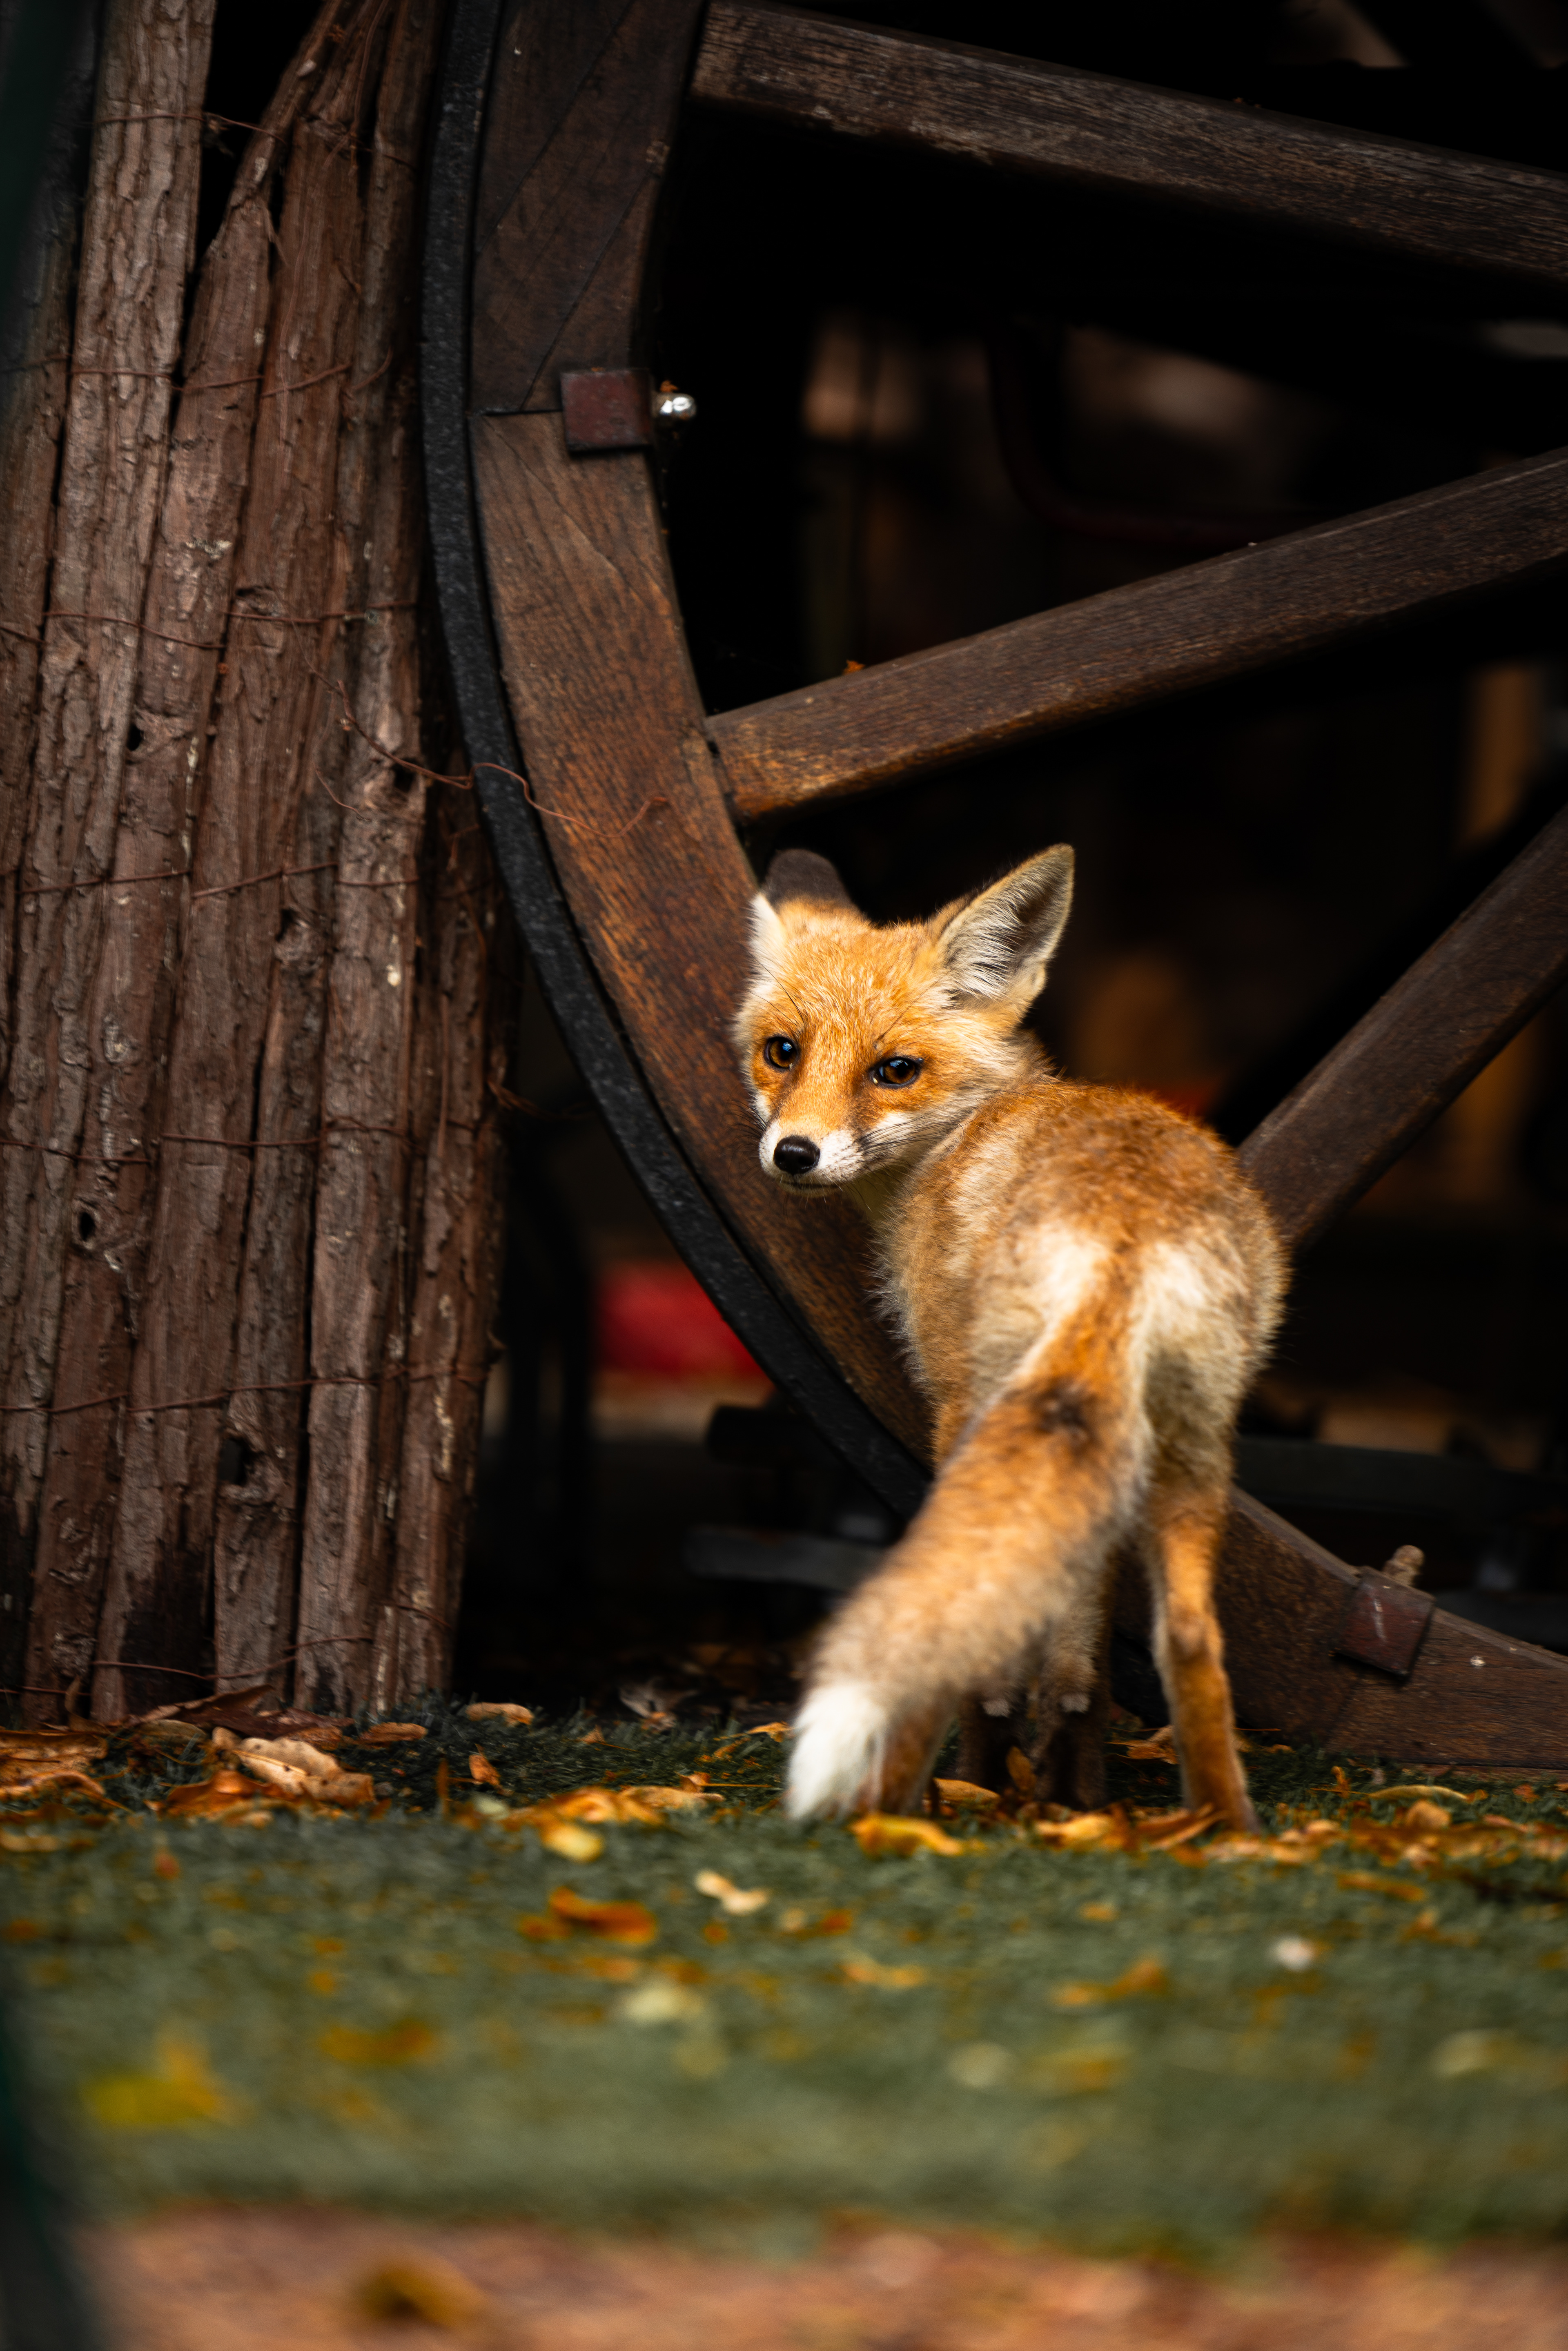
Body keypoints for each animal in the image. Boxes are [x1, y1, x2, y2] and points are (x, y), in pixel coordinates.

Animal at [733, 843, 1286, 1833]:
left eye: (895, 1069)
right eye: (782, 1051)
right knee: (1188, 1635)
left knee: (946, 1625)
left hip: (984, 1422)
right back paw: (1224, 1829)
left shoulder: (955, 1395)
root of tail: (1122, 1231)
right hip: (1189, 1448)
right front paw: (1067, 1760)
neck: (966, 1134)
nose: (793, 1154)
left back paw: (896, 1808)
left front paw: (1002, 1760)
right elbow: (1076, 1639)